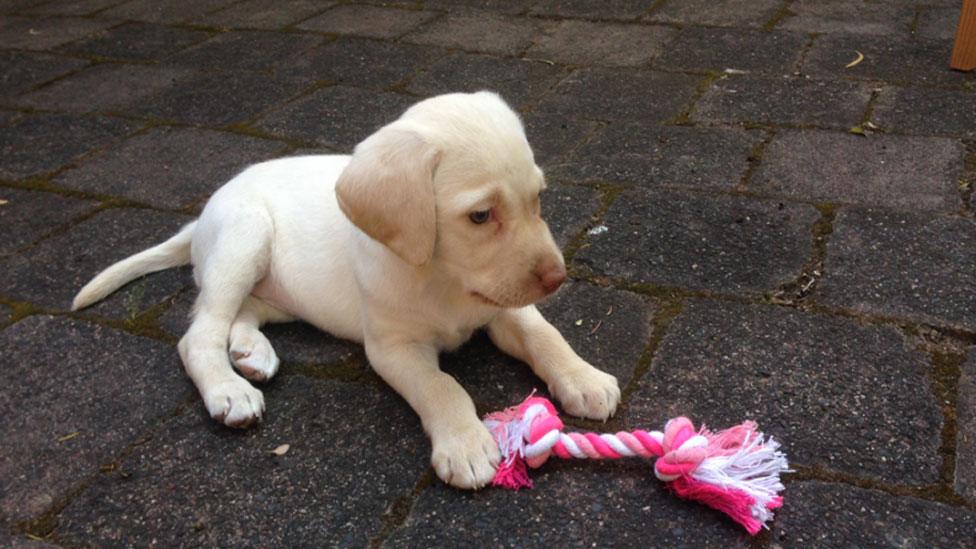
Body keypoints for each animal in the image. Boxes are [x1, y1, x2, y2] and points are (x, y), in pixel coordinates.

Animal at [78, 91, 624, 488]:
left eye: (539, 199)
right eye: (480, 215)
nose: (556, 278)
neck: (441, 278)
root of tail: (204, 215)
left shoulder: (504, 309)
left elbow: (544, 335)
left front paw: (583, 377)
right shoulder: (393, 347)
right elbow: (441, 386)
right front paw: (466, 444)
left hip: (286, 293)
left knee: (244, 312)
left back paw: (251, 351)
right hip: (243, 237)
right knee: (201, 333)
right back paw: (229, 390)